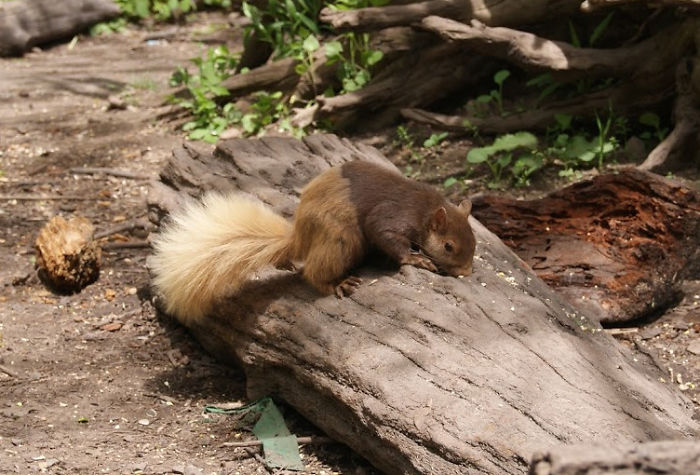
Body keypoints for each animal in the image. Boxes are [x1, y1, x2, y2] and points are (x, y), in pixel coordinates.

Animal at [150, 160, 476, 325]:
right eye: (448, 246)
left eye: (474, 243)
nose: (466, 273)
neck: (425, 210)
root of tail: (301, 239)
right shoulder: (393, 215)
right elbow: (385, 235)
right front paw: (415, 258)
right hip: (341, 238)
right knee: (313, 273)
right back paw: (337, 283)